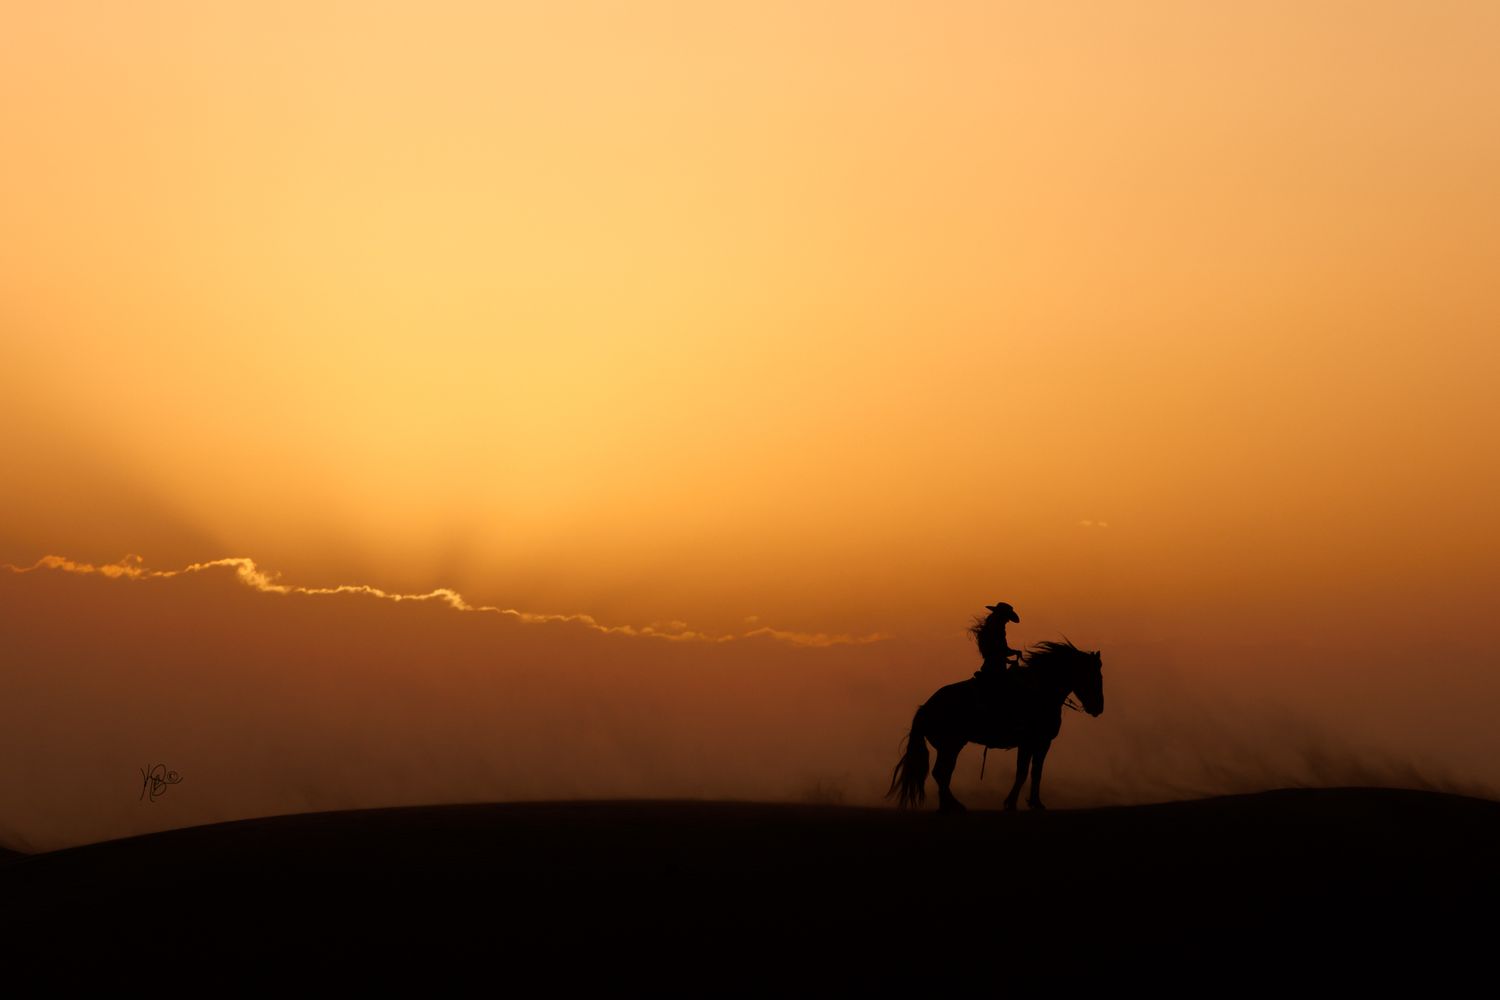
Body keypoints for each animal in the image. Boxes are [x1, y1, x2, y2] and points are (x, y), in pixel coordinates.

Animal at [887, 640, 1104, 813]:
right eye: (1092, 676)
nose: (1098, 708)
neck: (1040, 692)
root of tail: (925, 708)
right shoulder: (1032, 742)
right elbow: (1025, 773)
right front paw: (1016, 803)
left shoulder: (1037, 743)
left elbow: (1033, 772)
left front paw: (1030, 803)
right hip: (951, 746)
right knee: (941, 773)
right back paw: (954, 805)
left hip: (949, 747)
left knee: (942, 774)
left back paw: (947, 806)